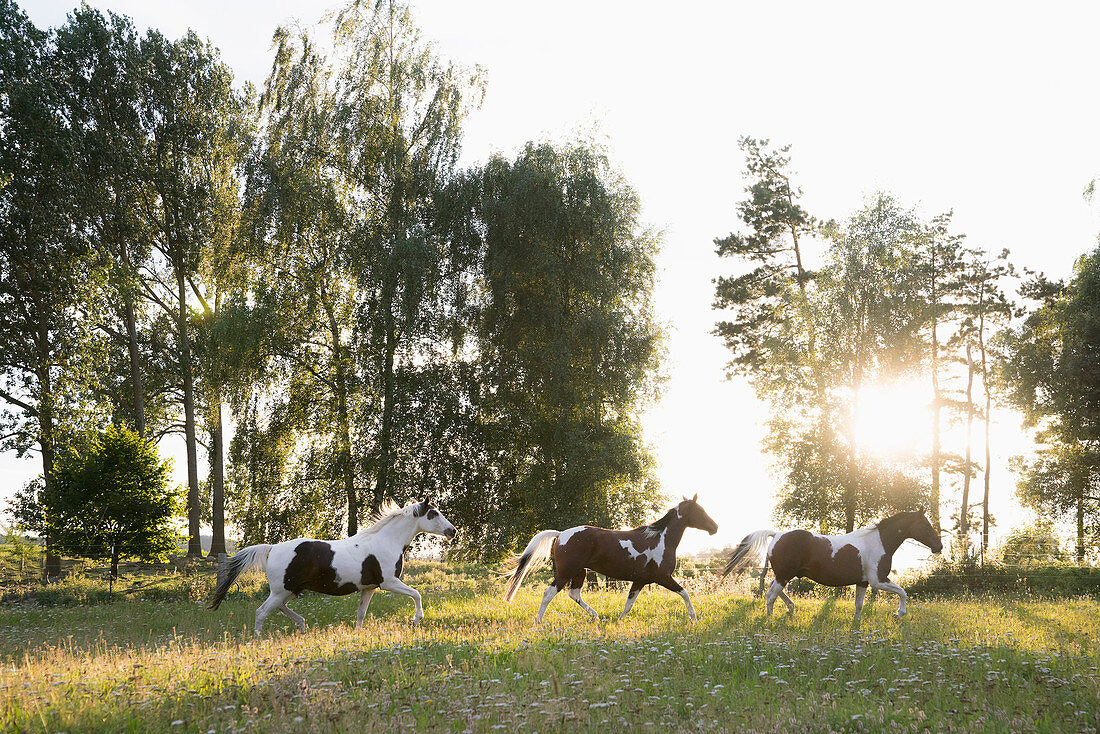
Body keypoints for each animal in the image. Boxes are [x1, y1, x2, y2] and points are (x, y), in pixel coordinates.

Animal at [207, 499, 453, 638]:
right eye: (434, 513)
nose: (453, 531)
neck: (385, 541)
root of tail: (272, 548)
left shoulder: (369, 588)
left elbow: (361, 614)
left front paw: (357, 635)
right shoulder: (389, 582)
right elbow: (417, 594)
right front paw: (416, 619)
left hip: (290, 590)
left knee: (280, 608)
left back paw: (302, 625)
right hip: (281, 590)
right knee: (262, 611)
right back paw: (259, 639)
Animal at [501, 497, 721, 625]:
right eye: (700, 510)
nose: (715, 527)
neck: (660, 539)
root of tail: (561, 534)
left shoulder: (640, 581)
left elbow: (628, 604)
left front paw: (619, 621)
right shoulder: (663, 577)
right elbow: (685, 593)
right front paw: (694, 618)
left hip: (579, 572)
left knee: (574, 594)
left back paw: (596, 616)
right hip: (566, 572)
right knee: (549, 593)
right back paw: (538, 622)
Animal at [721, 510, 946, 625]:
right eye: (926, 525)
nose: (939, 546)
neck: (878, 542)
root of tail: (777, 534)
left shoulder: (864, 582)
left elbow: (859, 606)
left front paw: (856, 625)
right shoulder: (878, 580)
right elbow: (903, 592)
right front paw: (899, 614)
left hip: (784, 575)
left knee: (772, 590)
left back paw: (791, 608)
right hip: (784, 576)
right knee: (770, 596)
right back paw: (769, 619)